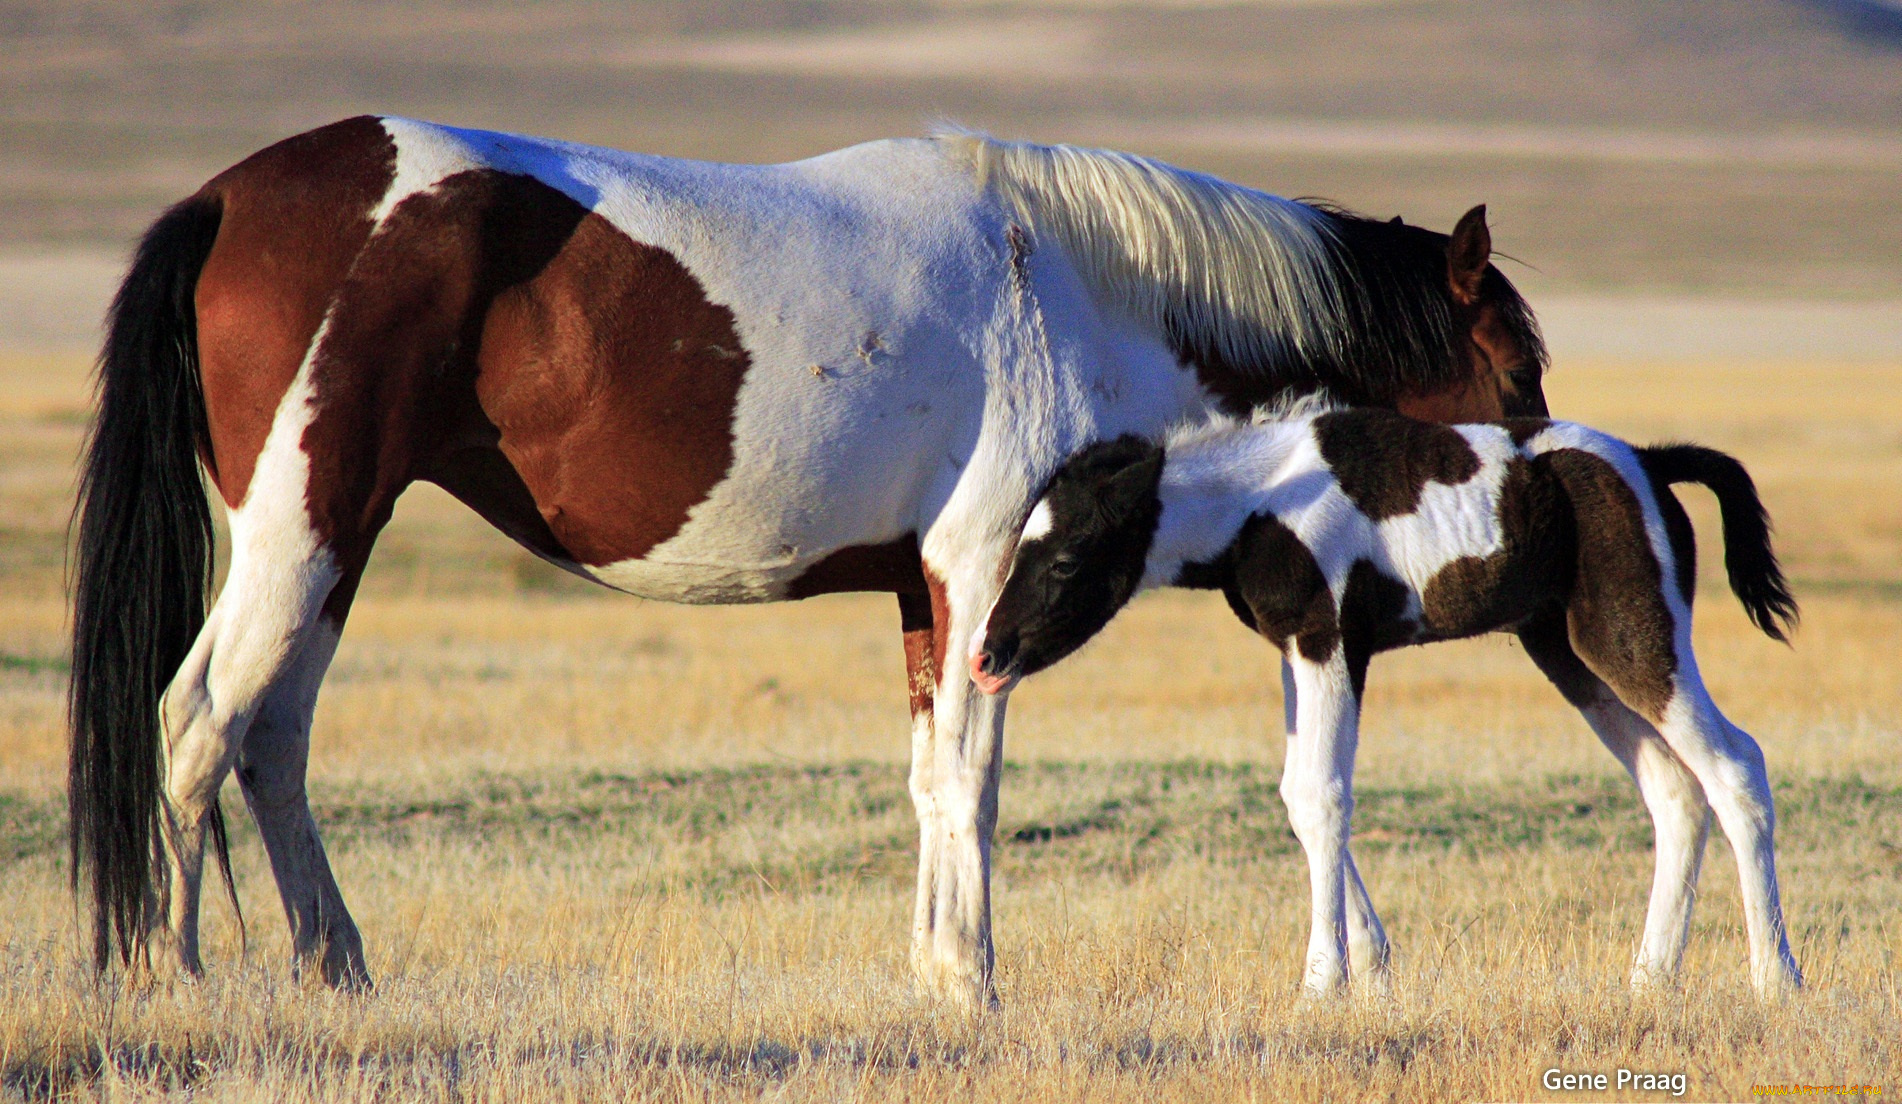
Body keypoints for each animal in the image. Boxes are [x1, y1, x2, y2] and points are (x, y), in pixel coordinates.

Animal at [67, 116, 1552, 1005]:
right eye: (1512, 369)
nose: (1538, 497)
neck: (1081, 288)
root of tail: (226, 198)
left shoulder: (924, 587)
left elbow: (929, 780)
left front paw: (936, 975)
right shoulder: (979, 570)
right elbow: (973, 782)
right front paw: (972, 982)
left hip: (341, 538)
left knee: (269, 742)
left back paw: (336, 968)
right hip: (301, 531)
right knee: (198, 725)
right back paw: (173, 984)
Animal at [973, 405, 1803, 997]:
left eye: (1067, 559)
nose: (986, 659)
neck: (1259, 503)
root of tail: (1652, 462)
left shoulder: (1330, 640)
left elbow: (1322, 794)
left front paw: (1324, 981)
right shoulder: (1297, 648)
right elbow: (1298, 794)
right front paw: (1369, 969)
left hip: (1632, 634)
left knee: (1736, 767)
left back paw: (1775, 978)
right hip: (1568, 653)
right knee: (1674, 792)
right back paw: (1650, 979)